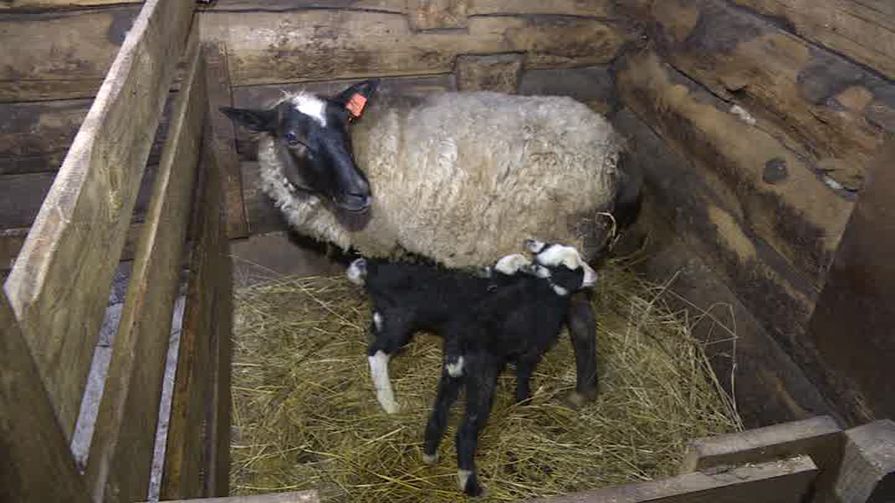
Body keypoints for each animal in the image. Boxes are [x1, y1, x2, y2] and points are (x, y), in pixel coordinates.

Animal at [424, 242, 600, 498]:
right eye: (574, 270)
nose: (594, 275)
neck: (545, 289)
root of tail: (460, 343)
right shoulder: (534, 346)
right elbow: (524, 371)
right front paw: (524, 399)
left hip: (450, 375)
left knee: (438, 412)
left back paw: (429, 454)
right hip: (482, 378)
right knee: (466, 431)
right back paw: (470, 484)